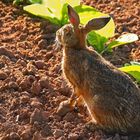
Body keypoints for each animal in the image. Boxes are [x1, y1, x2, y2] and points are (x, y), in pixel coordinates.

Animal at [55, 4, 140, 133]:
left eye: (66, 31)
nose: (56, 33)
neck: (77, 48)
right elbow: (80, 97)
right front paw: (78, 105)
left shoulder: (76, 83)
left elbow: (74, 95)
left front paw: (65, 105)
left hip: (96, 104)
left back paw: (90, 125)